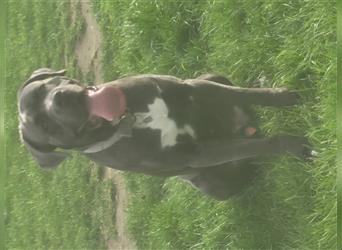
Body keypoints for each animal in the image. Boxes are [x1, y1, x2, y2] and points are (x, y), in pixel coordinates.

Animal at [17, 69, 310, 201]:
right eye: (44, 125)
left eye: (46, 86)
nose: (60, 98)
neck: (130, 119)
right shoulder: (196, 154)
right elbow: (257, 146)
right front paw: (295, 147)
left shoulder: (194, 88)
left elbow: (246, 94)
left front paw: (285, 96)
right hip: (213, 185)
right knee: (247, 162)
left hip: (211, 75)